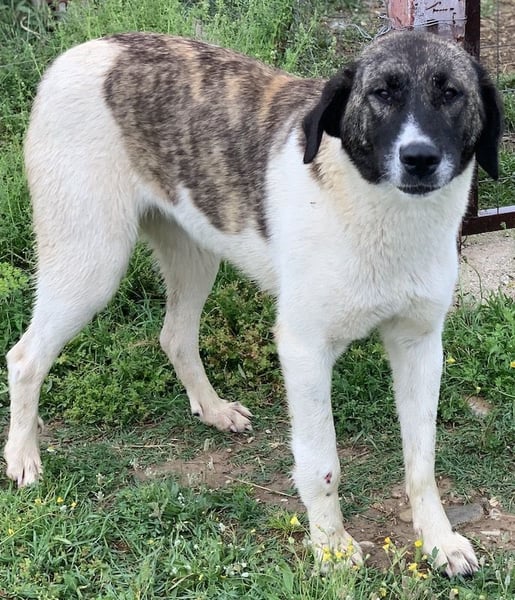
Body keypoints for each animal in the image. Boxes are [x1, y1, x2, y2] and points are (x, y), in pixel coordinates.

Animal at [5, 30, 502, 576]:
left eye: (451, 93)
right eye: (382, 93)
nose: (419, 158)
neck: (381, 210)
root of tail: (83, 49)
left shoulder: (421, 344)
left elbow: (422, 460)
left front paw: (438, 540)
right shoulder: (304, 350)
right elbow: (322, 463)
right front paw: (331, 547)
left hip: (194, 255)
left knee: (174, 336)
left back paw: (212, 408)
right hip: (92, 264)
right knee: (25, 357)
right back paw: (22, 455)